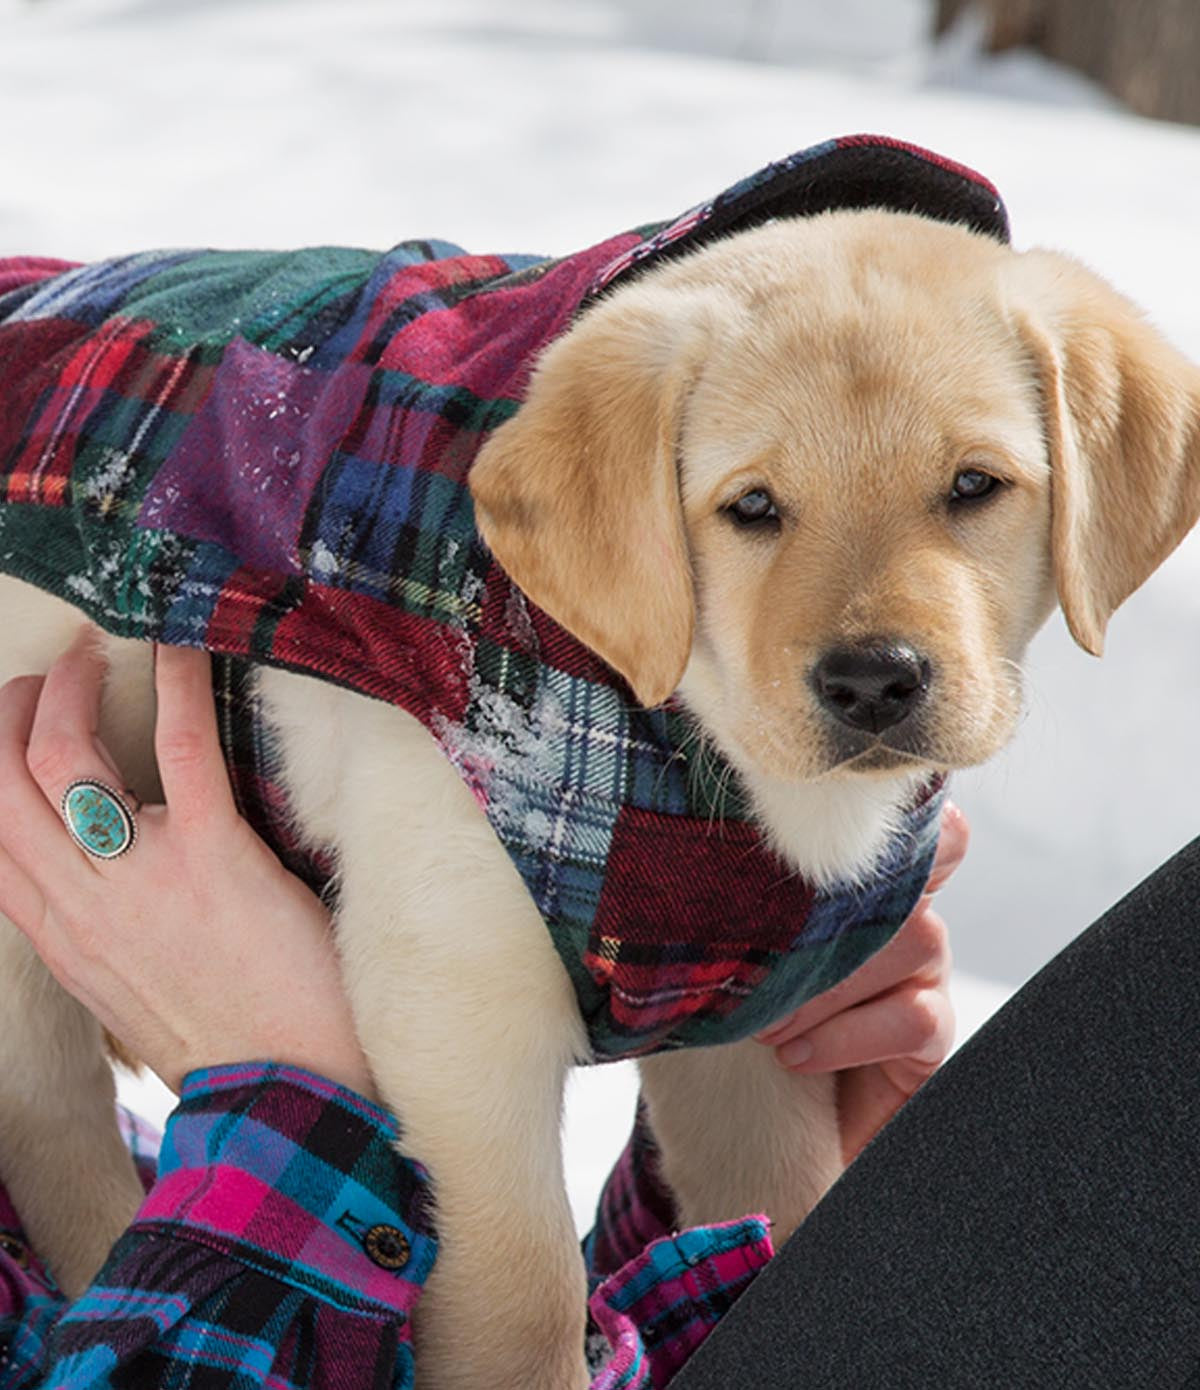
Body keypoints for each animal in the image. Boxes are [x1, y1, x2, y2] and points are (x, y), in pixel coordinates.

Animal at [0, 138, 1195, 1378]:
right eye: (751, 507)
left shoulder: (744, 1011)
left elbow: (778, 1192)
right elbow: (524, 1297)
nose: (874, 681)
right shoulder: (457, 1007)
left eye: (974, 486)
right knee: (60, 1129)